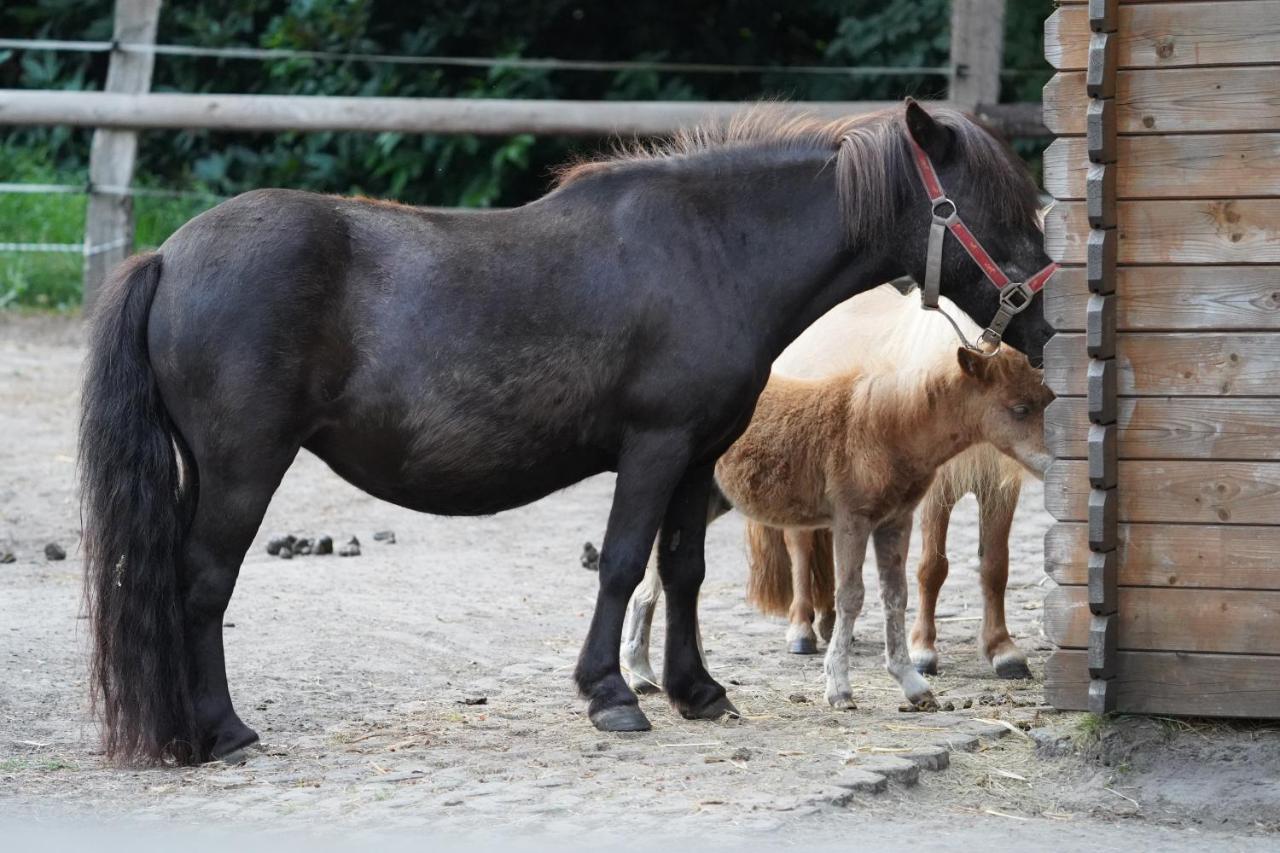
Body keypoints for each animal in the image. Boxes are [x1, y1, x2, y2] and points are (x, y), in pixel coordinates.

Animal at [82, 101, 1049, 763]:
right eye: (994, 206)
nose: (1045, 322)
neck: (713, 251)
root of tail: (170, 255)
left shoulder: (697, 459)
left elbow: (681, 571)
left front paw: (696, 689)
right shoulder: (654, 448)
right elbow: (622, 565)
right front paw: (612, 692)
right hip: (243, 467)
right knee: (203, 583)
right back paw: (219, 729)